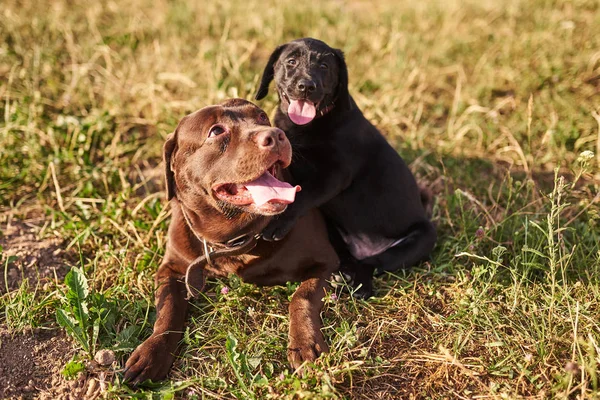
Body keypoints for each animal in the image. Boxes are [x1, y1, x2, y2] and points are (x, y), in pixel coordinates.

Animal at [124, 98, 340, 382]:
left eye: (262, 117)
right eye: (216, 131)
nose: (276, 135)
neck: (233, 240)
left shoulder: (326, 262)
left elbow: (302, 296)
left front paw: (305, 343)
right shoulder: (171, 268)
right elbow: (168, 308)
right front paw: (153, 352)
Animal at [254, 39, 436, 296]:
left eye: (324, 66)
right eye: (291, 61)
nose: (306, 86)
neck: (308, 124)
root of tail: (365, 248)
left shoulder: (335, 174)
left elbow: (303, 195)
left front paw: (278, 222)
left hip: (423, 238)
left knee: (374, 263)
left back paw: (359, 285)